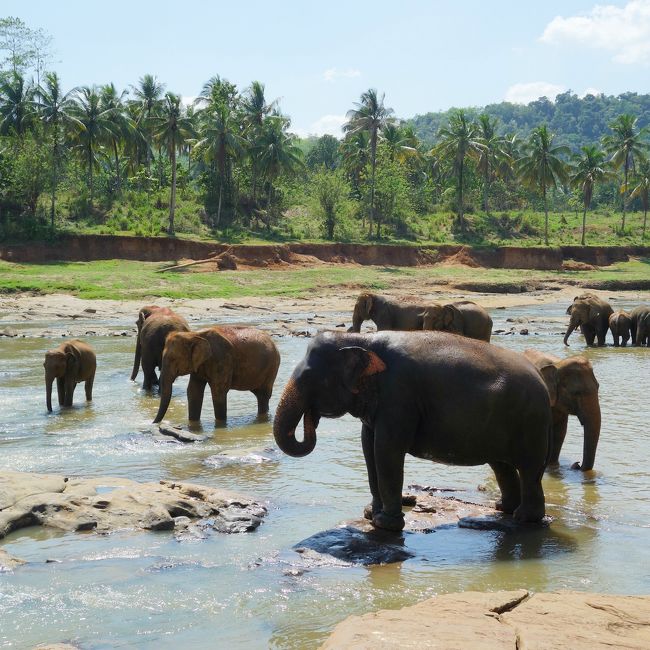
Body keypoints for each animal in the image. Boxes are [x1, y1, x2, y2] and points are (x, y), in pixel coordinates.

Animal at [270, 332, 548, 528]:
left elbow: (386, 450)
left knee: (529, 469)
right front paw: (371, 514)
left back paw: (525, 518)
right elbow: (368, 447)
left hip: (531, 422)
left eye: (309, 377)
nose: (312, 417)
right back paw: (504, 508)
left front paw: (385, 524)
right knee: (502, 466)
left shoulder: (399, 395)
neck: (363, 340)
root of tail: (540, 376)